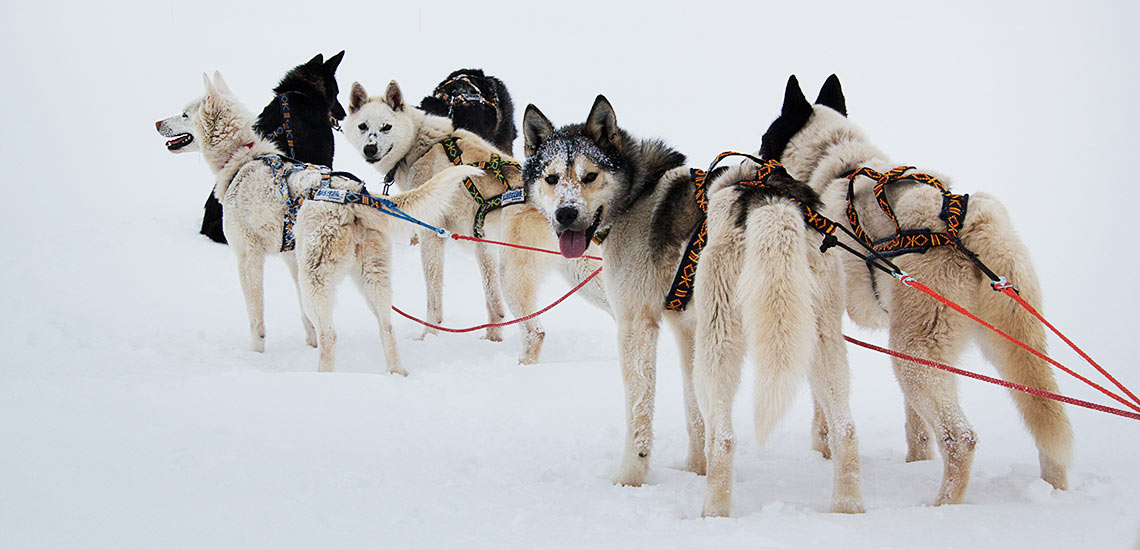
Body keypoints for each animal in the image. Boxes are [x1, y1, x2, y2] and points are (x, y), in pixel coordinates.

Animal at [342, 80, 611, 365]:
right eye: (363, 126)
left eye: (386, 127)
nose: (370, 149)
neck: (422, 146)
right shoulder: (482, 241)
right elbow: (492, 301)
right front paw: (493, 338)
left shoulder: (433, 236)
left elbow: (434, 298)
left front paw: (428, 337)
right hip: (582, 274)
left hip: (513, 276)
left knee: (536, 332)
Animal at [761, 75, 1071, 504]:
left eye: (765, 137)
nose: (755, 158)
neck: (836, 166)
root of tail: (970, 228)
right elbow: (916, 425)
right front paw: (916, 461)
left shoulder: (824, 318)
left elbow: (823, 407)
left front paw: (822, 451)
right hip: (1010, 345)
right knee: (1045, 413)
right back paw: (1054, 491)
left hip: (913, 352)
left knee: (961, 439)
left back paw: (941, 507)